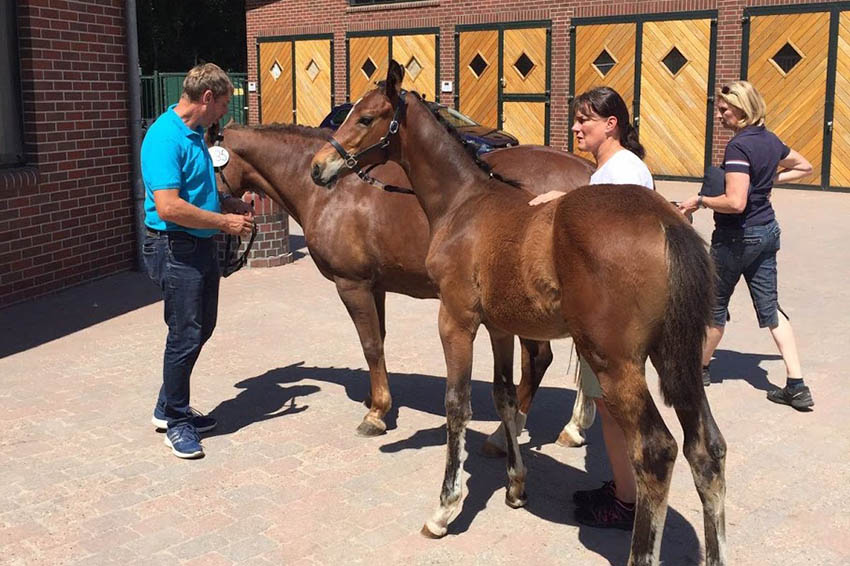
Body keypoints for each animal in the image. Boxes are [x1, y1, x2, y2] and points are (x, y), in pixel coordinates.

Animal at [203, 120, 592, 442]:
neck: (333, 190)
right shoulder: (375, 285)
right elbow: (380, 338)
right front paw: (374, 397)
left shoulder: (352, 284)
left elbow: (371, 344)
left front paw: (376, 413)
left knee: (538, 360)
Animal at [308, 60, 724, 564]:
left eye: (366, 118)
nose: (318, 166)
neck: (463, 204)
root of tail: (667, 221)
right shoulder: (500, 328)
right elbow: (505, 395)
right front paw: (515, 486)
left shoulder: (456, 320)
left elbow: (457, 405)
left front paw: (445, 509)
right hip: (675, 354)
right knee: (707, 450)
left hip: (616, 360)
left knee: (655, 451)